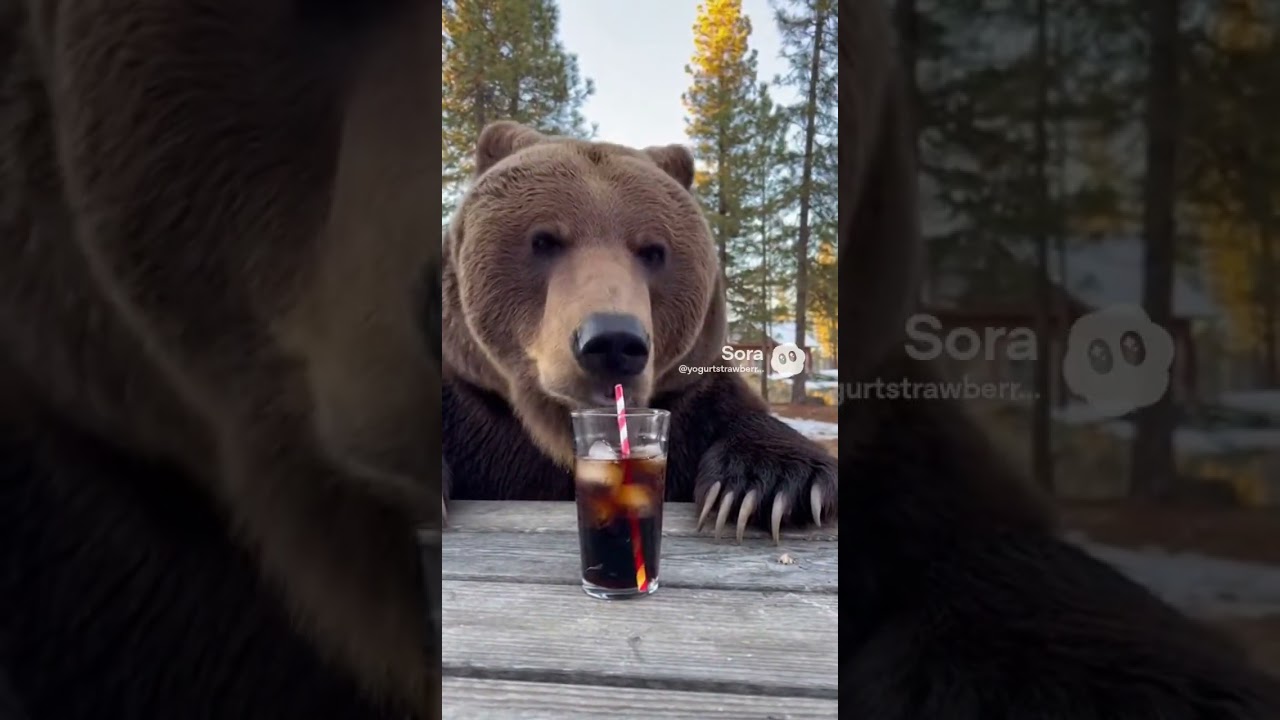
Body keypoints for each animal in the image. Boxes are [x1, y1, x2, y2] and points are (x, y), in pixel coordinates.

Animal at [441, 121, 839, 541]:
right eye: (544, 240)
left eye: (653, 250)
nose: (612, 341)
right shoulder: (472, 412)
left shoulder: (692, 406)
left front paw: (767, 486)